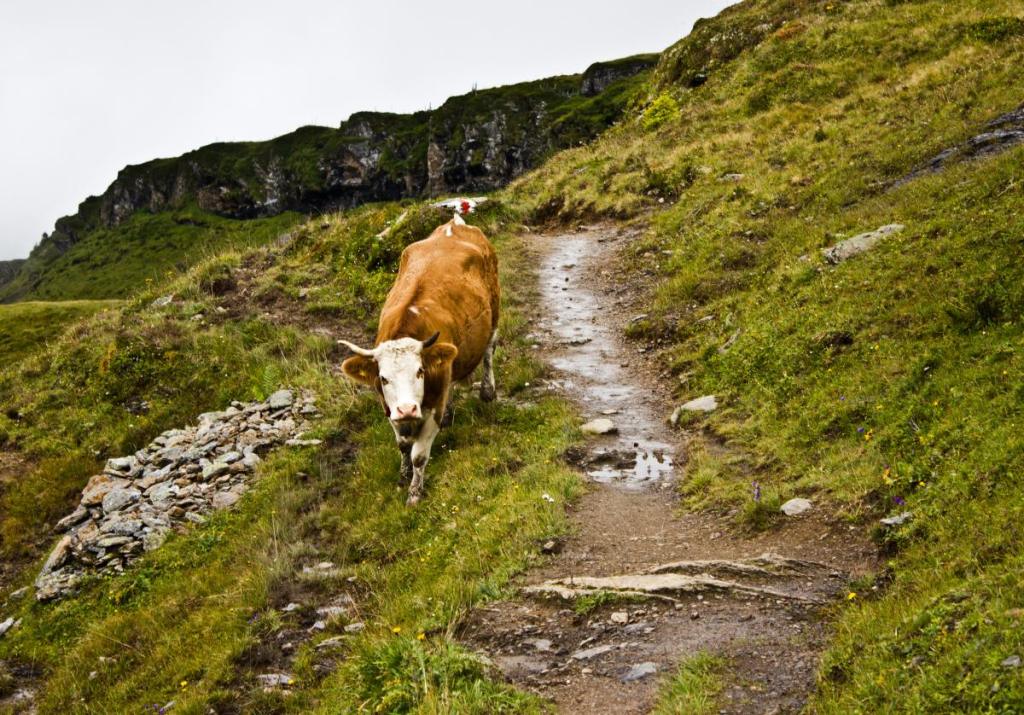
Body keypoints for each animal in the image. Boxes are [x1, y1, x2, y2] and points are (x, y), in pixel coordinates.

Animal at [339, 213, 500, 505]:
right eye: (383, 378)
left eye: (419, 372)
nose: (407, 409)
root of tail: (453, 224)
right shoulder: (388, 406)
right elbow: (403, 445)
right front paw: (403, 475)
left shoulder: (432, 406)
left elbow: (419, 455)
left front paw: (415, 492)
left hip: (494, 310)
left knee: (489, 351)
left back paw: (487, 391)